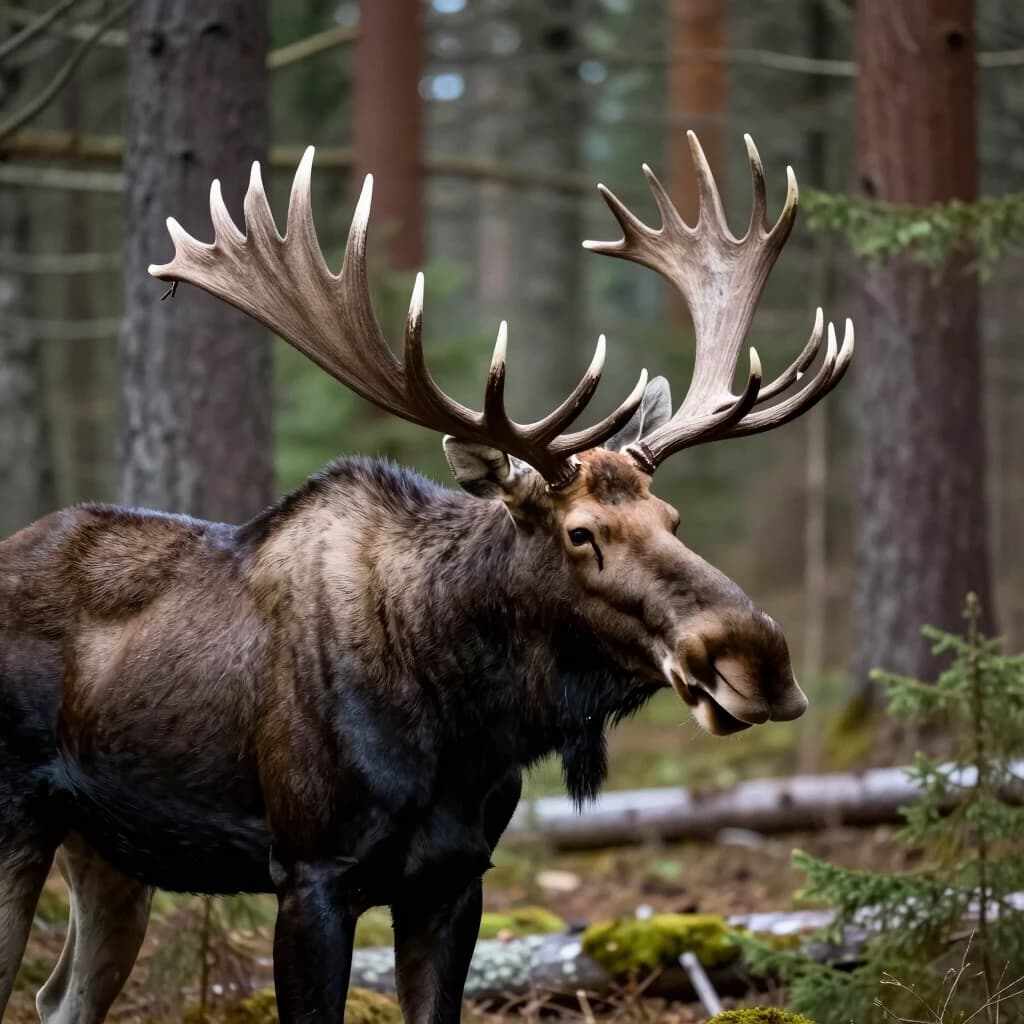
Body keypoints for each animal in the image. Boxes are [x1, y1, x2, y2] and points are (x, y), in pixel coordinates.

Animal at [0, 132, 852, 1024]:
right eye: (581, 532)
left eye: (674, 519)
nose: (760, 659)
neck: (465, 726)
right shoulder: (311, 872)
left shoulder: (453, 877)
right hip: (16, 820)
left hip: (108, 850)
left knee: (59, 999)